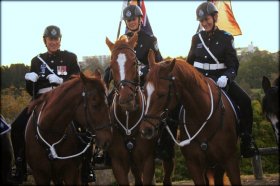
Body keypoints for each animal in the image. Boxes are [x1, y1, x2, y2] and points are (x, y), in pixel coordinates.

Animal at [140, 50, 241, 185]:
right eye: (144, 92)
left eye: (161, 94)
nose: (145, 130)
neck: (201, 116)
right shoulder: (194, 165)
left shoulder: (230, 160)